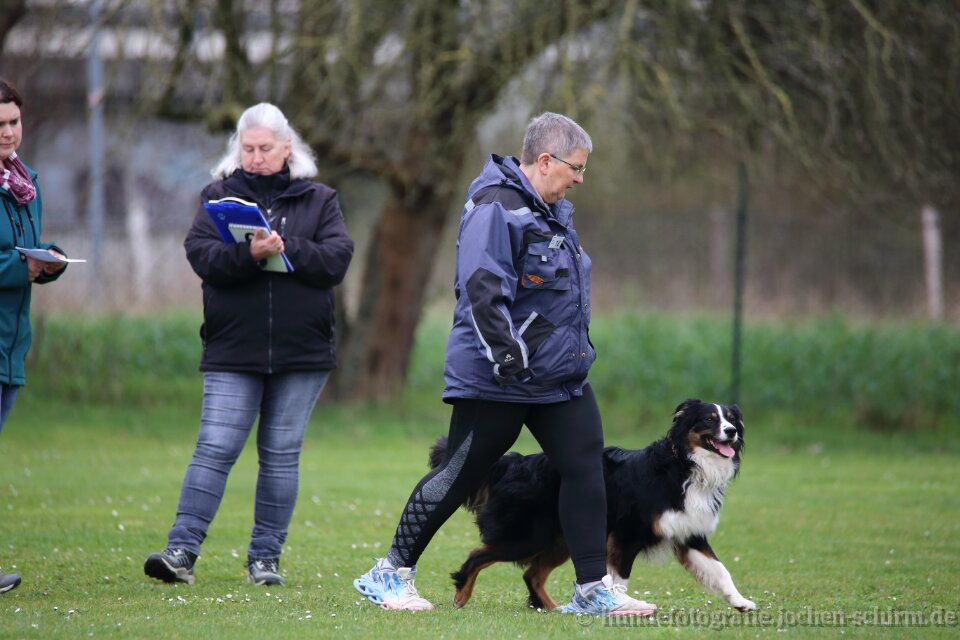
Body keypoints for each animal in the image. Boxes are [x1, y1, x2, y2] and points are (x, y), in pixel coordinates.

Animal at [435, 398, 756, 612]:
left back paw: (554, 609)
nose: (731, 431)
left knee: (532, 574)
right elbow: (620, 577)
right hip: (528, 536)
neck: (686, 466)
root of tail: (514, 462)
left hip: (561, 539)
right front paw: (622, 605)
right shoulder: (626, 535)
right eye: (709, 419)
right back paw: (461, 595)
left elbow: (720, 571)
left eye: (730, 418)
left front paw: (741, 602)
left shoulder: (690, 534)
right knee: (478, 555)